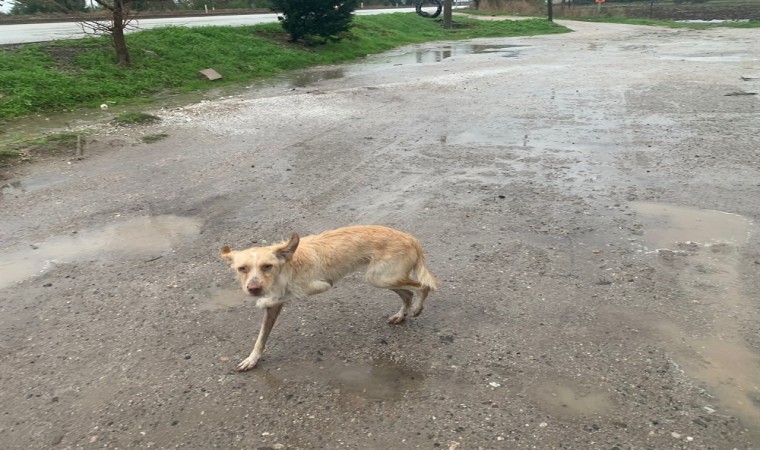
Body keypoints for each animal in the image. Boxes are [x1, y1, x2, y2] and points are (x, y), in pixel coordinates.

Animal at [220, 225, 437, 371]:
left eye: (267, 266)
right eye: (242, 269)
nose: (253, 289)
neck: (286, 267)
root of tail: (410, 238)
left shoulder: (319, 285)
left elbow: (285, 293)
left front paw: (264, 300)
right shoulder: (273, 310)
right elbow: (261, 338)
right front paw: (252, 359)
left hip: (381, 278)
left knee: (423, 286)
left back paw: (417, 307)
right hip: (383, 278)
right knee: (408, 293)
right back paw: (401, 315)